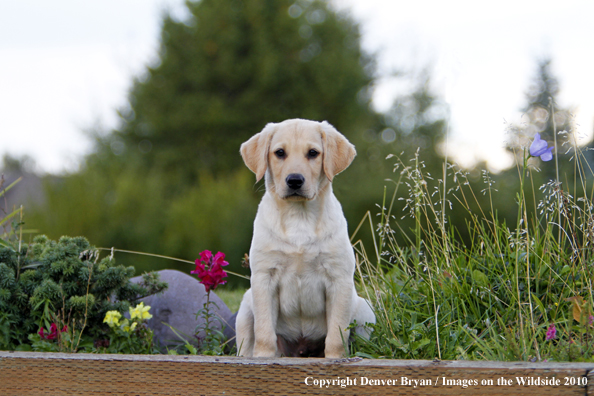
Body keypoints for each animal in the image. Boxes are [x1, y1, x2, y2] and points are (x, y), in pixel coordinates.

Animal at [234, 118, 372, 358]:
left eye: (313, 153)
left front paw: (335, 358)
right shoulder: (264, 277)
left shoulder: (338, 278)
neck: (299, 217)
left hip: (365, 311)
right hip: (245, 309)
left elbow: (337, 334)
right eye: (280, 153)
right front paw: (263, 358)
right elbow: (264, 331)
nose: (295, 180)